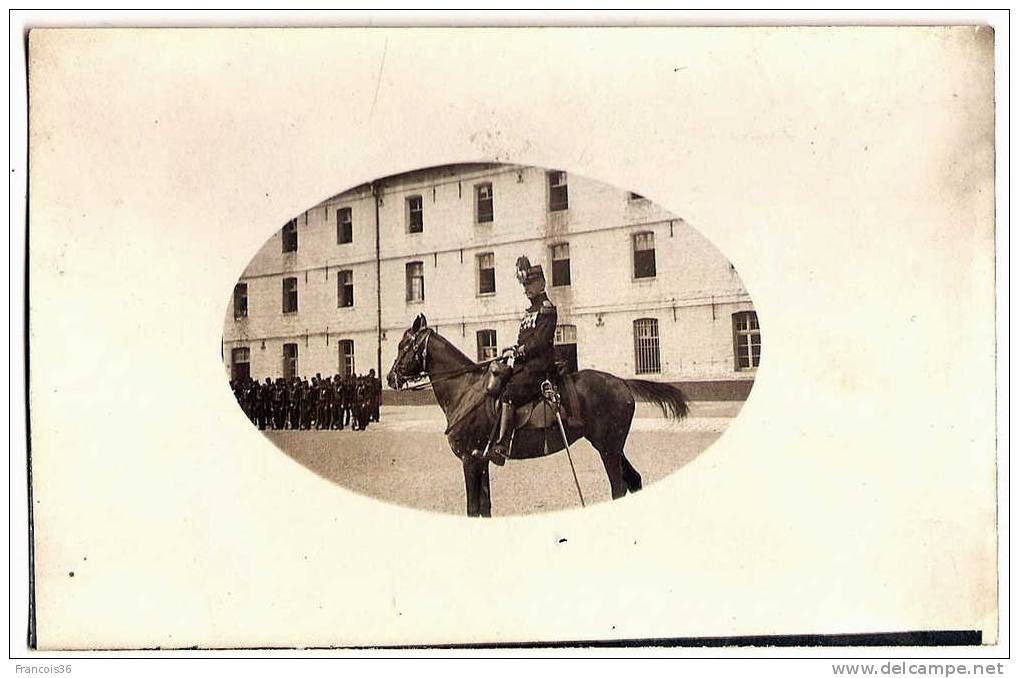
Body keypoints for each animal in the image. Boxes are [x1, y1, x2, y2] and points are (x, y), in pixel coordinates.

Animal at [385, 314, 688, 515]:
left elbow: (473, 509)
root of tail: (622, 382)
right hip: (612, 447)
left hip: (608, 450)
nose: (390, 378)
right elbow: (485, 507)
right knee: (633, 481)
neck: (465, 389)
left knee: (618, 488)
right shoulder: (480, 462)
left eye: (403, 347)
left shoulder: (470, 460)